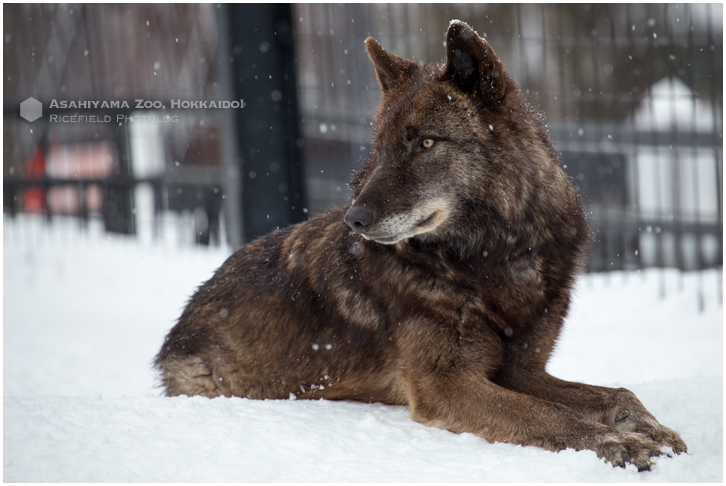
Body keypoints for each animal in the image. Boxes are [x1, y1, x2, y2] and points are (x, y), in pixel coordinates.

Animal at [156, 20, 692, 468]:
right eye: (381, 148)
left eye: (426, 144)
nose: (355, 219)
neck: (496, 257)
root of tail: (174, 335)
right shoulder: (447, 383)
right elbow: (554, 416)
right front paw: (617, 442)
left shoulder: (520, 369)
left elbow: (617, 394)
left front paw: (650, 428)